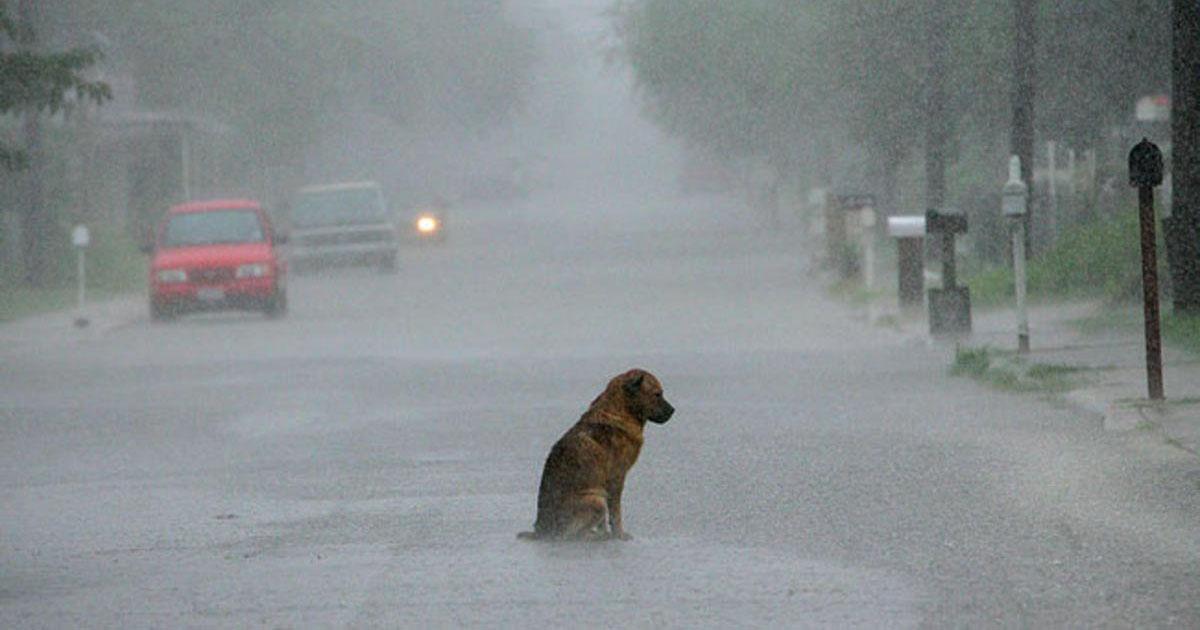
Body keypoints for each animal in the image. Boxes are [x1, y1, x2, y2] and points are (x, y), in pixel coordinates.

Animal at [518, 369, 676, 540]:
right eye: (657, 394)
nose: (673, 410)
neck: (620, 410)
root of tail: (541, 531)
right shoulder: (616, 478)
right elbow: (615, 513)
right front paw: (619, 534)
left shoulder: (604, 486)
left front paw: (606, 532)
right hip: (596, 501)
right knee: (572, 535)